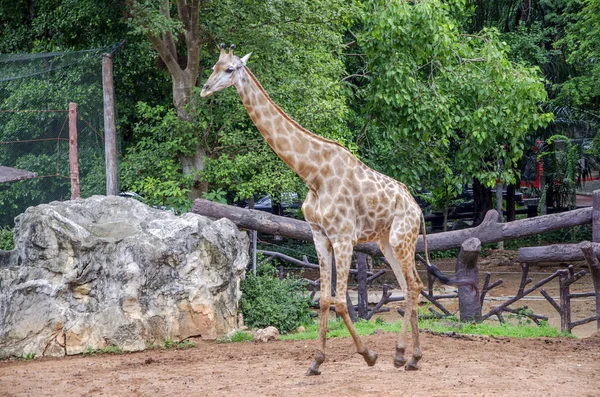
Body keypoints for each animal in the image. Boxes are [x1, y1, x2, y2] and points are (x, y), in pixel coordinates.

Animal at [202, 44, 432, 374]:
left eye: (230, 69)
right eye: (213, 66)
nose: (205, 89)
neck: (312, 174)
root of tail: (418, 208)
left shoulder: (343, 237)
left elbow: (340, 301)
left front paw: (368, 355)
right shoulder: (319, 236)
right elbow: (324, 299)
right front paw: (316, 361)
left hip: (403, 238)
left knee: (413, 285)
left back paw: (408, 356)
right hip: (386, 241)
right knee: (409, 285)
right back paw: (406, 356)